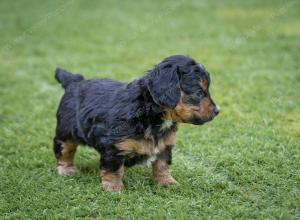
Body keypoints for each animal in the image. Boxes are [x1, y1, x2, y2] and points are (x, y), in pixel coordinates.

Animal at [53, 54, 218, 191]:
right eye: (199, 93)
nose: (217, 111)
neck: (151, 114)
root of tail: (74, 81)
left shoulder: (165, 145)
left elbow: (162, 165)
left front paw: (167, 182)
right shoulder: (113, 147)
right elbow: (113, 169)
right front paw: (114, 188)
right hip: (66, 131)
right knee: (64, 149)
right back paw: (67, 170)